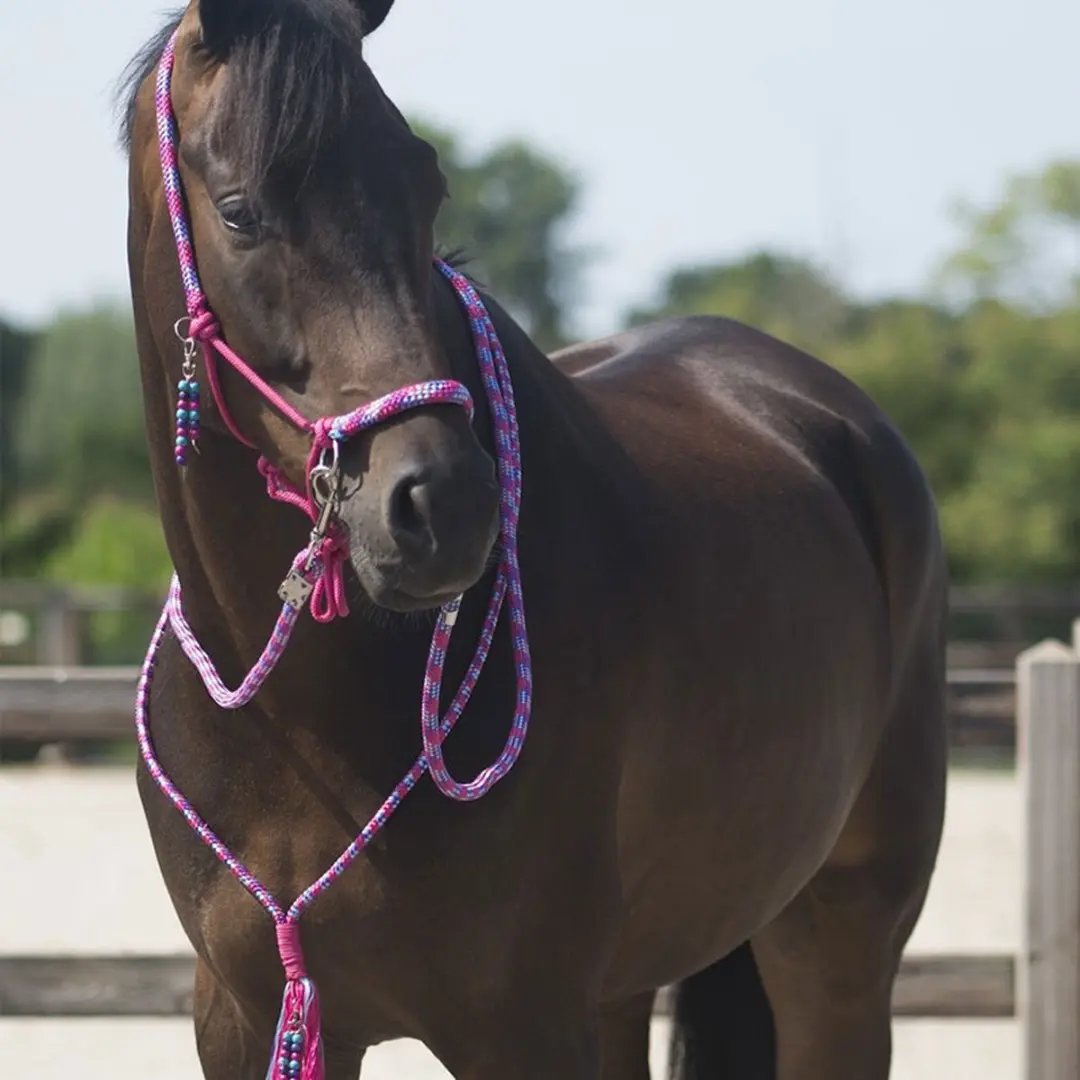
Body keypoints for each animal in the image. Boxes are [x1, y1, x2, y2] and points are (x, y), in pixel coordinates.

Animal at [118, 3, 948, 1078]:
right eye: (240, 211)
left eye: (424, 182)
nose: (443, 504)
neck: (299, 722)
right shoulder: (250, 1017)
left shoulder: (523, 1020)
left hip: (838, 945)